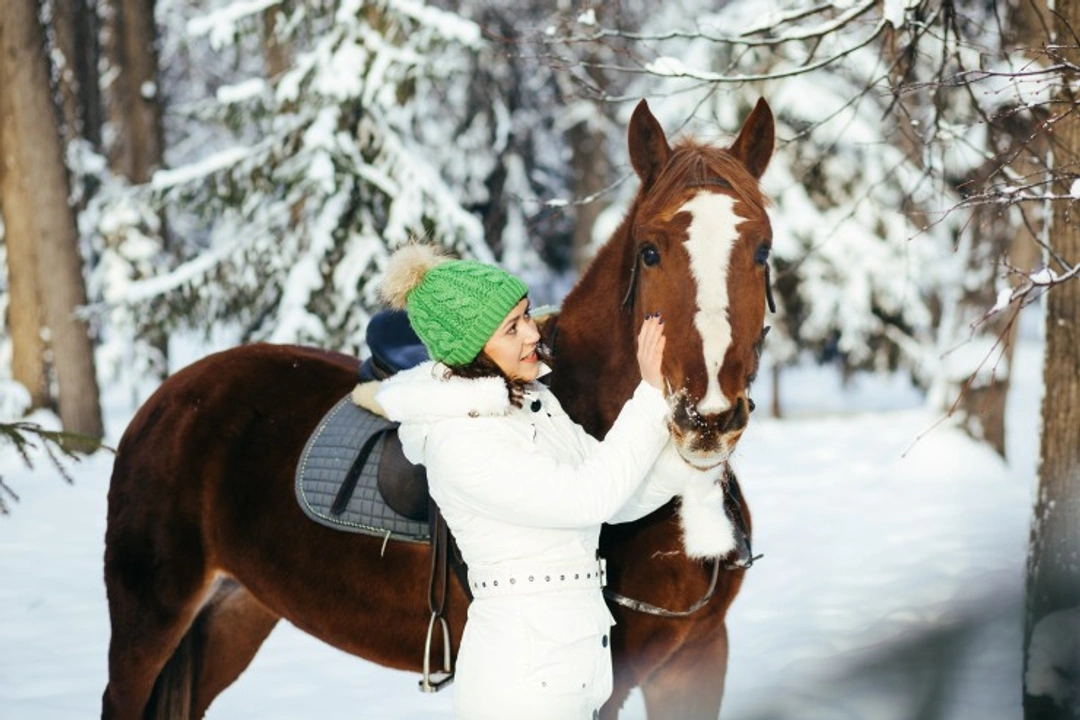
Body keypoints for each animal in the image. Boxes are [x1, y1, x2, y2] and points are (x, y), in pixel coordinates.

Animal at [101, 97, 775, 720]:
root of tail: (169, 397)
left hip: (234, 612)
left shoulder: (697, 657)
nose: (706, 418)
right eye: (650, 252)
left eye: (762, 250)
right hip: (148, 619)